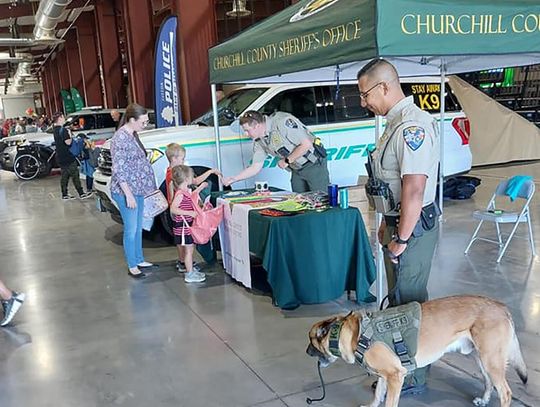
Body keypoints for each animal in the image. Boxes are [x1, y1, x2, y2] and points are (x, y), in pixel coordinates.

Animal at [308, 296, 528, 407]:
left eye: (311, 340)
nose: (307, 352)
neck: (355, 334)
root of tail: (501, 307)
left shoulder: (395, 377)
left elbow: (389, 402)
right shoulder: (384, 376)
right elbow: (378, 394)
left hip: (491, 360)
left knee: (505, 393)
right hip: (482, 359)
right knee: (489, 382)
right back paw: (484, 400)